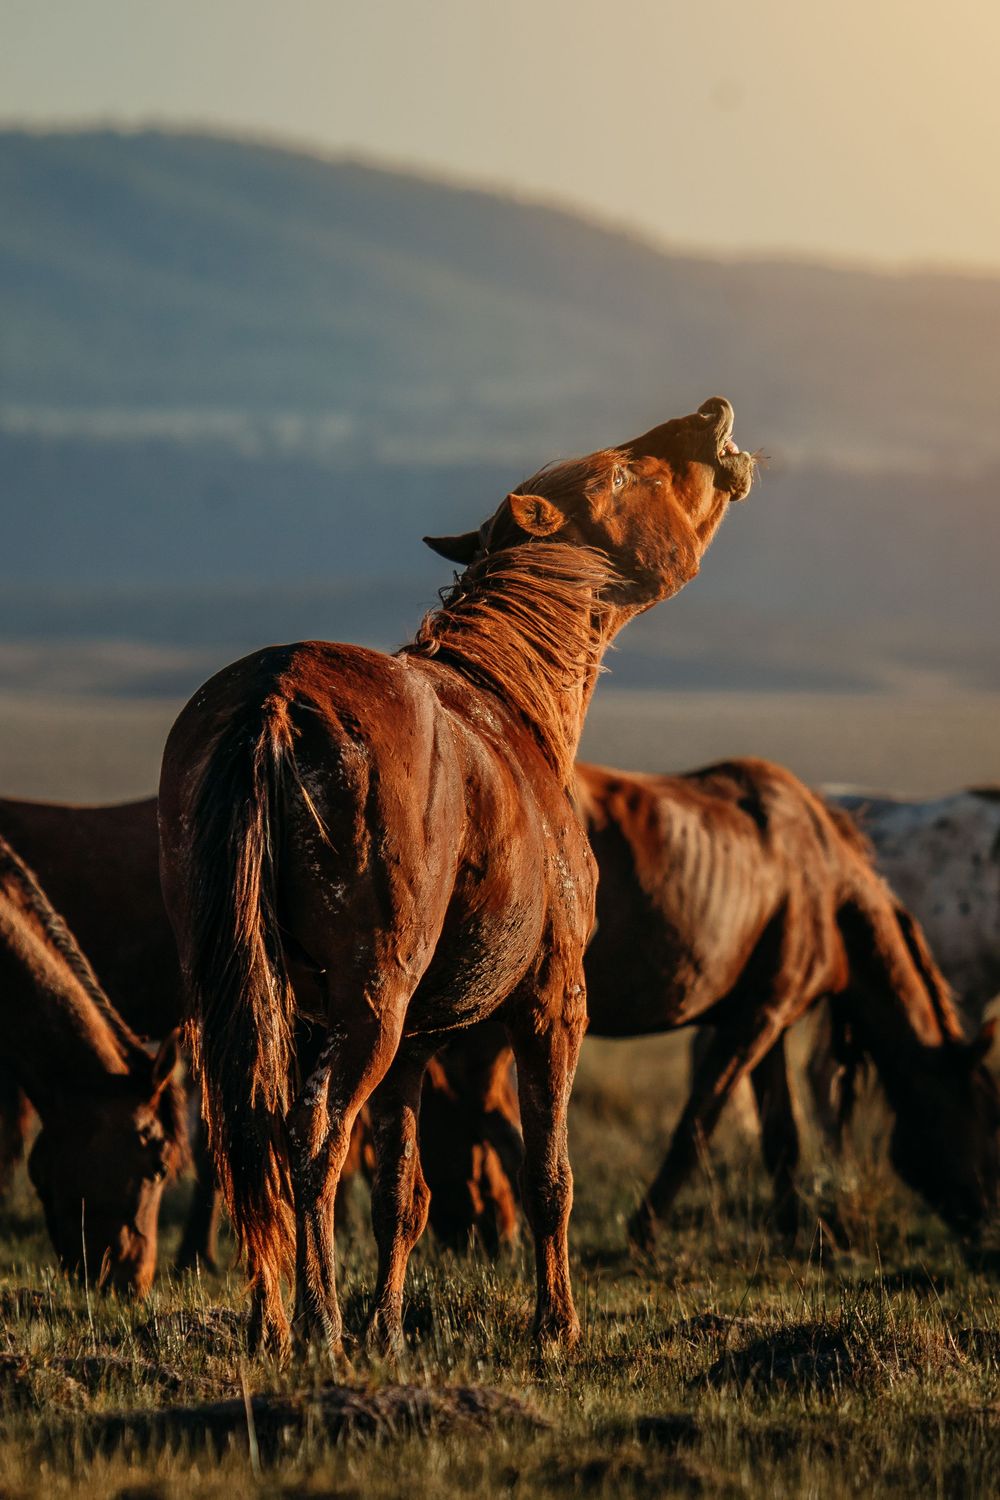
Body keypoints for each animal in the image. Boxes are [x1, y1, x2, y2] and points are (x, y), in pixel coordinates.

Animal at [157, 396, 756, 1357]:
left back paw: (273, 1329)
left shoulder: (418, 1047)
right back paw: (318, 1325)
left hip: (256, 1003)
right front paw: (556, 1329)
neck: (513, 706)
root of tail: (275, 698)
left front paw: (390, 1330)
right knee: (312, 1148)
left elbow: (403, 1193)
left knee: (248, 1142)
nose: (709, 415)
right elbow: (548, 1173)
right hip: (369, 1003)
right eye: (623, 472)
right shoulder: (553, 1003)